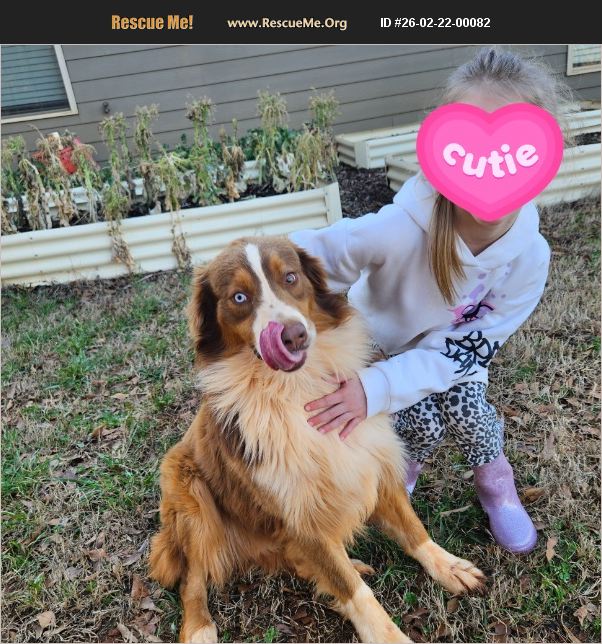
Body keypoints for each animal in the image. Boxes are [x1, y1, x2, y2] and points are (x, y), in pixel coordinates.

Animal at [149, 236, 485, 643]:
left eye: (291, 277)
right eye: (239, 297)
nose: (292, 335)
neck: (295, 388)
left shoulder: (372, 463)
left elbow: (413, 529)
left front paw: (448, 566)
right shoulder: (298, 513)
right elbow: (353, 590)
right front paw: (386, 634)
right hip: (190, 493)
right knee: (192, 578)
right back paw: (199, 628)